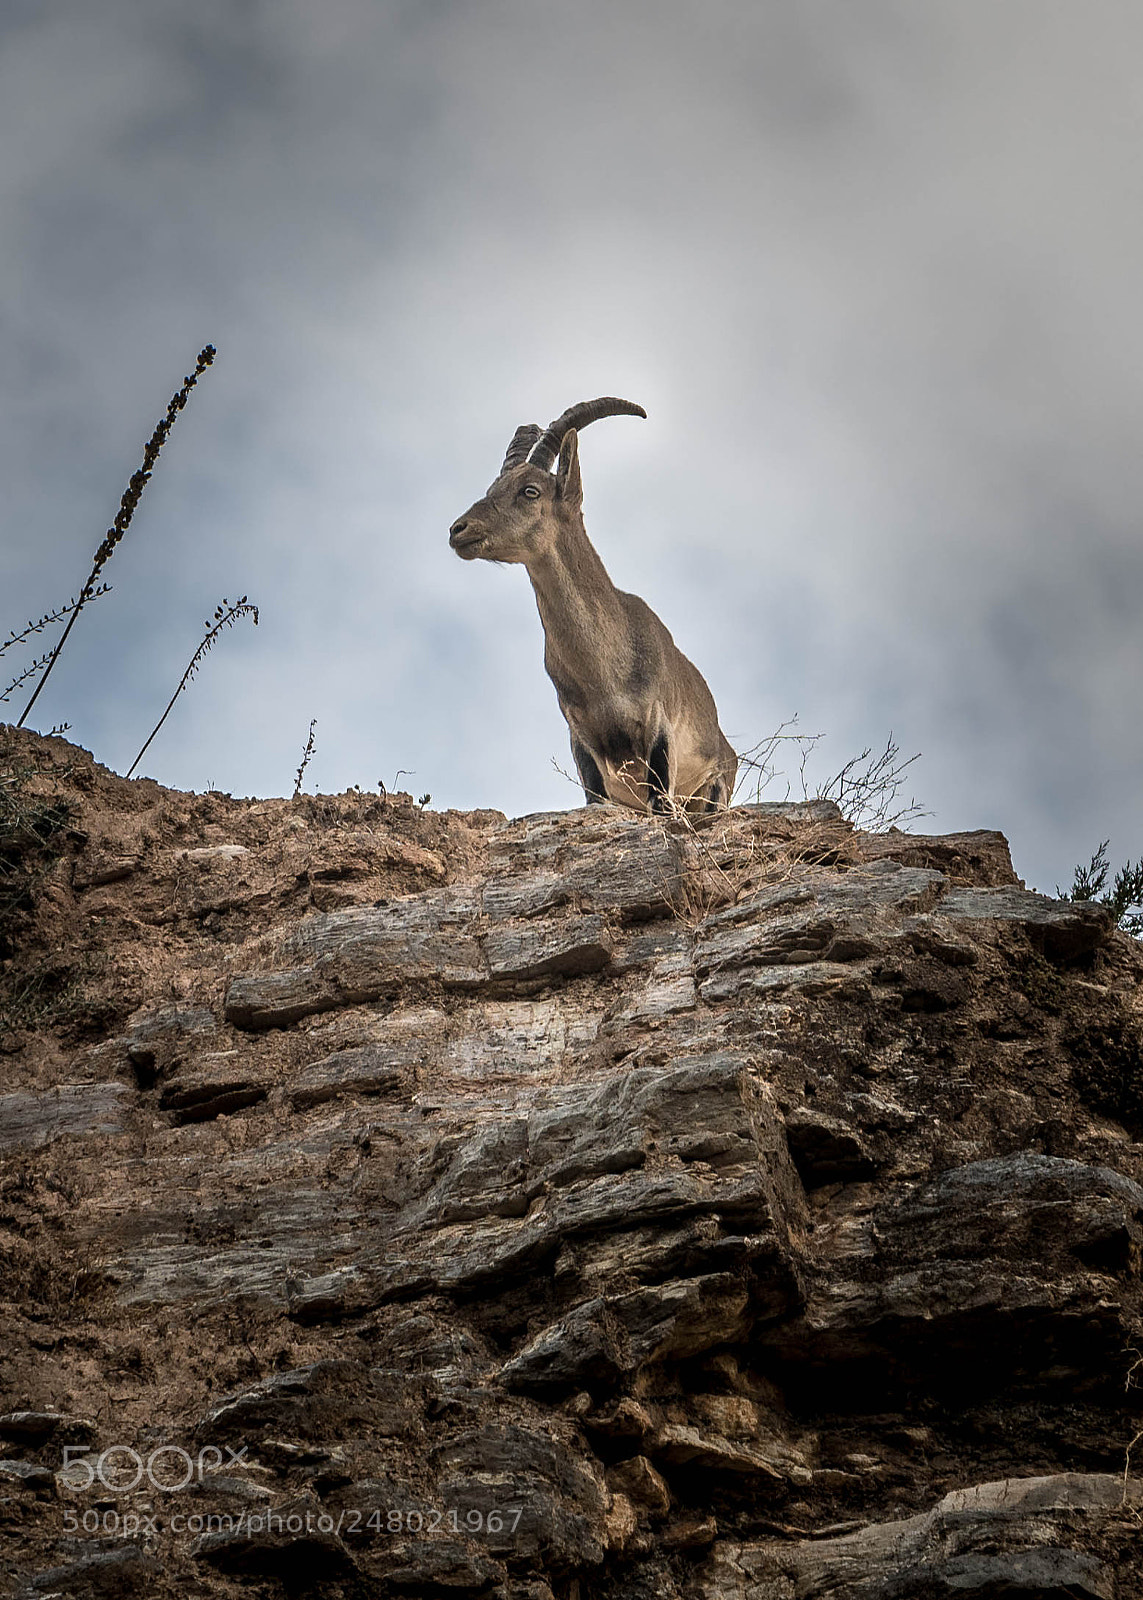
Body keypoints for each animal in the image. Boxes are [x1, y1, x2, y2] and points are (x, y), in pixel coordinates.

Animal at [449, 397, 737, 815]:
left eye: (530, 490)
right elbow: (594, 799)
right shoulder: (581, 740)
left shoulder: (659, 729)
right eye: (494, 487)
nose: (459, 530)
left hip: (715, 787)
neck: (604, 672)